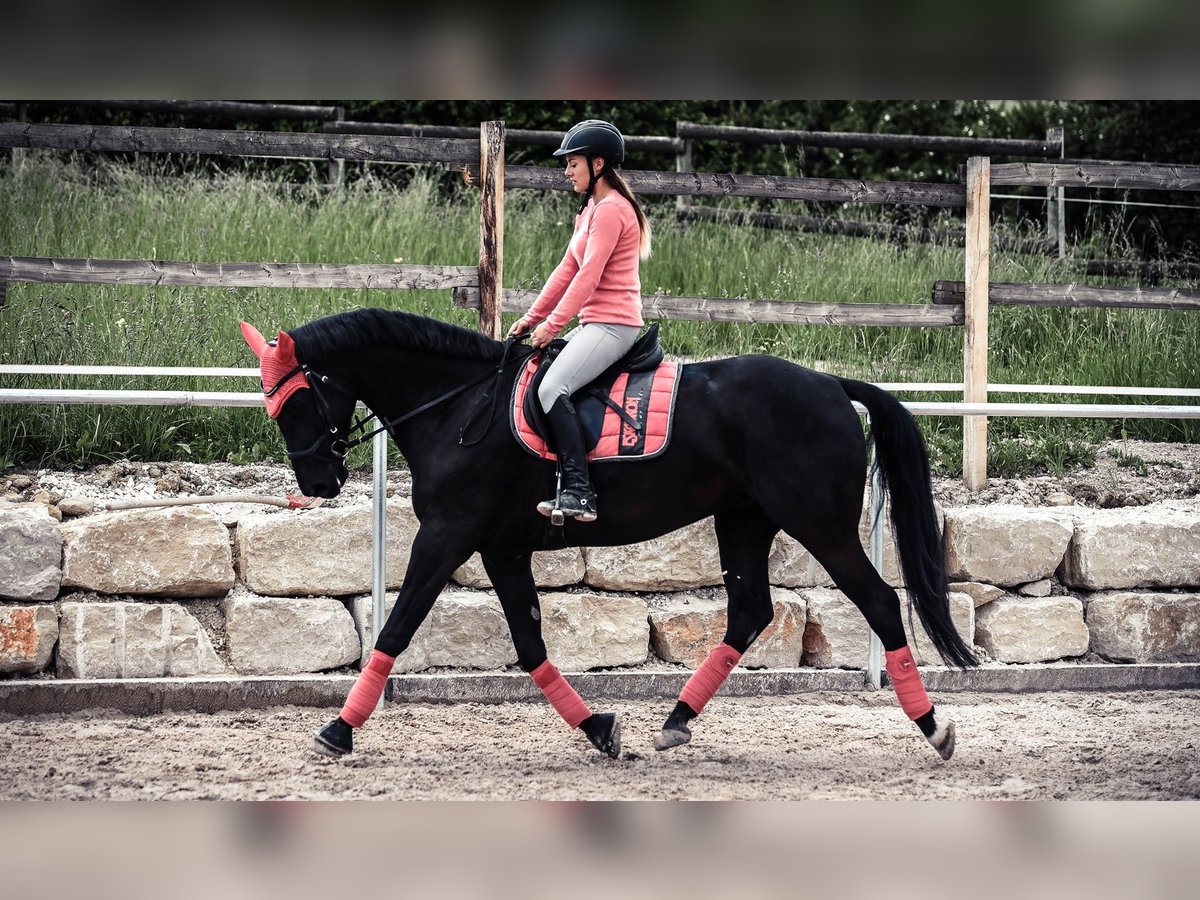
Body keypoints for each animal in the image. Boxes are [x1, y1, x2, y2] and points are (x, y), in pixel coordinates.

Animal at [239, 307, 976, 762]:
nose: (318, 481)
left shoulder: (447, 535)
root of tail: (829, 383)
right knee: (750, 612)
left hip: (818, 524)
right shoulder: (501, 546)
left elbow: (395, 630)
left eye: (297, 399)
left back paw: (935, 727)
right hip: (744, 518)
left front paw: (337, 731)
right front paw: (598, 728)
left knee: (879, 602)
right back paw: (675, 721)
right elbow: (530, 644)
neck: (458, 405)